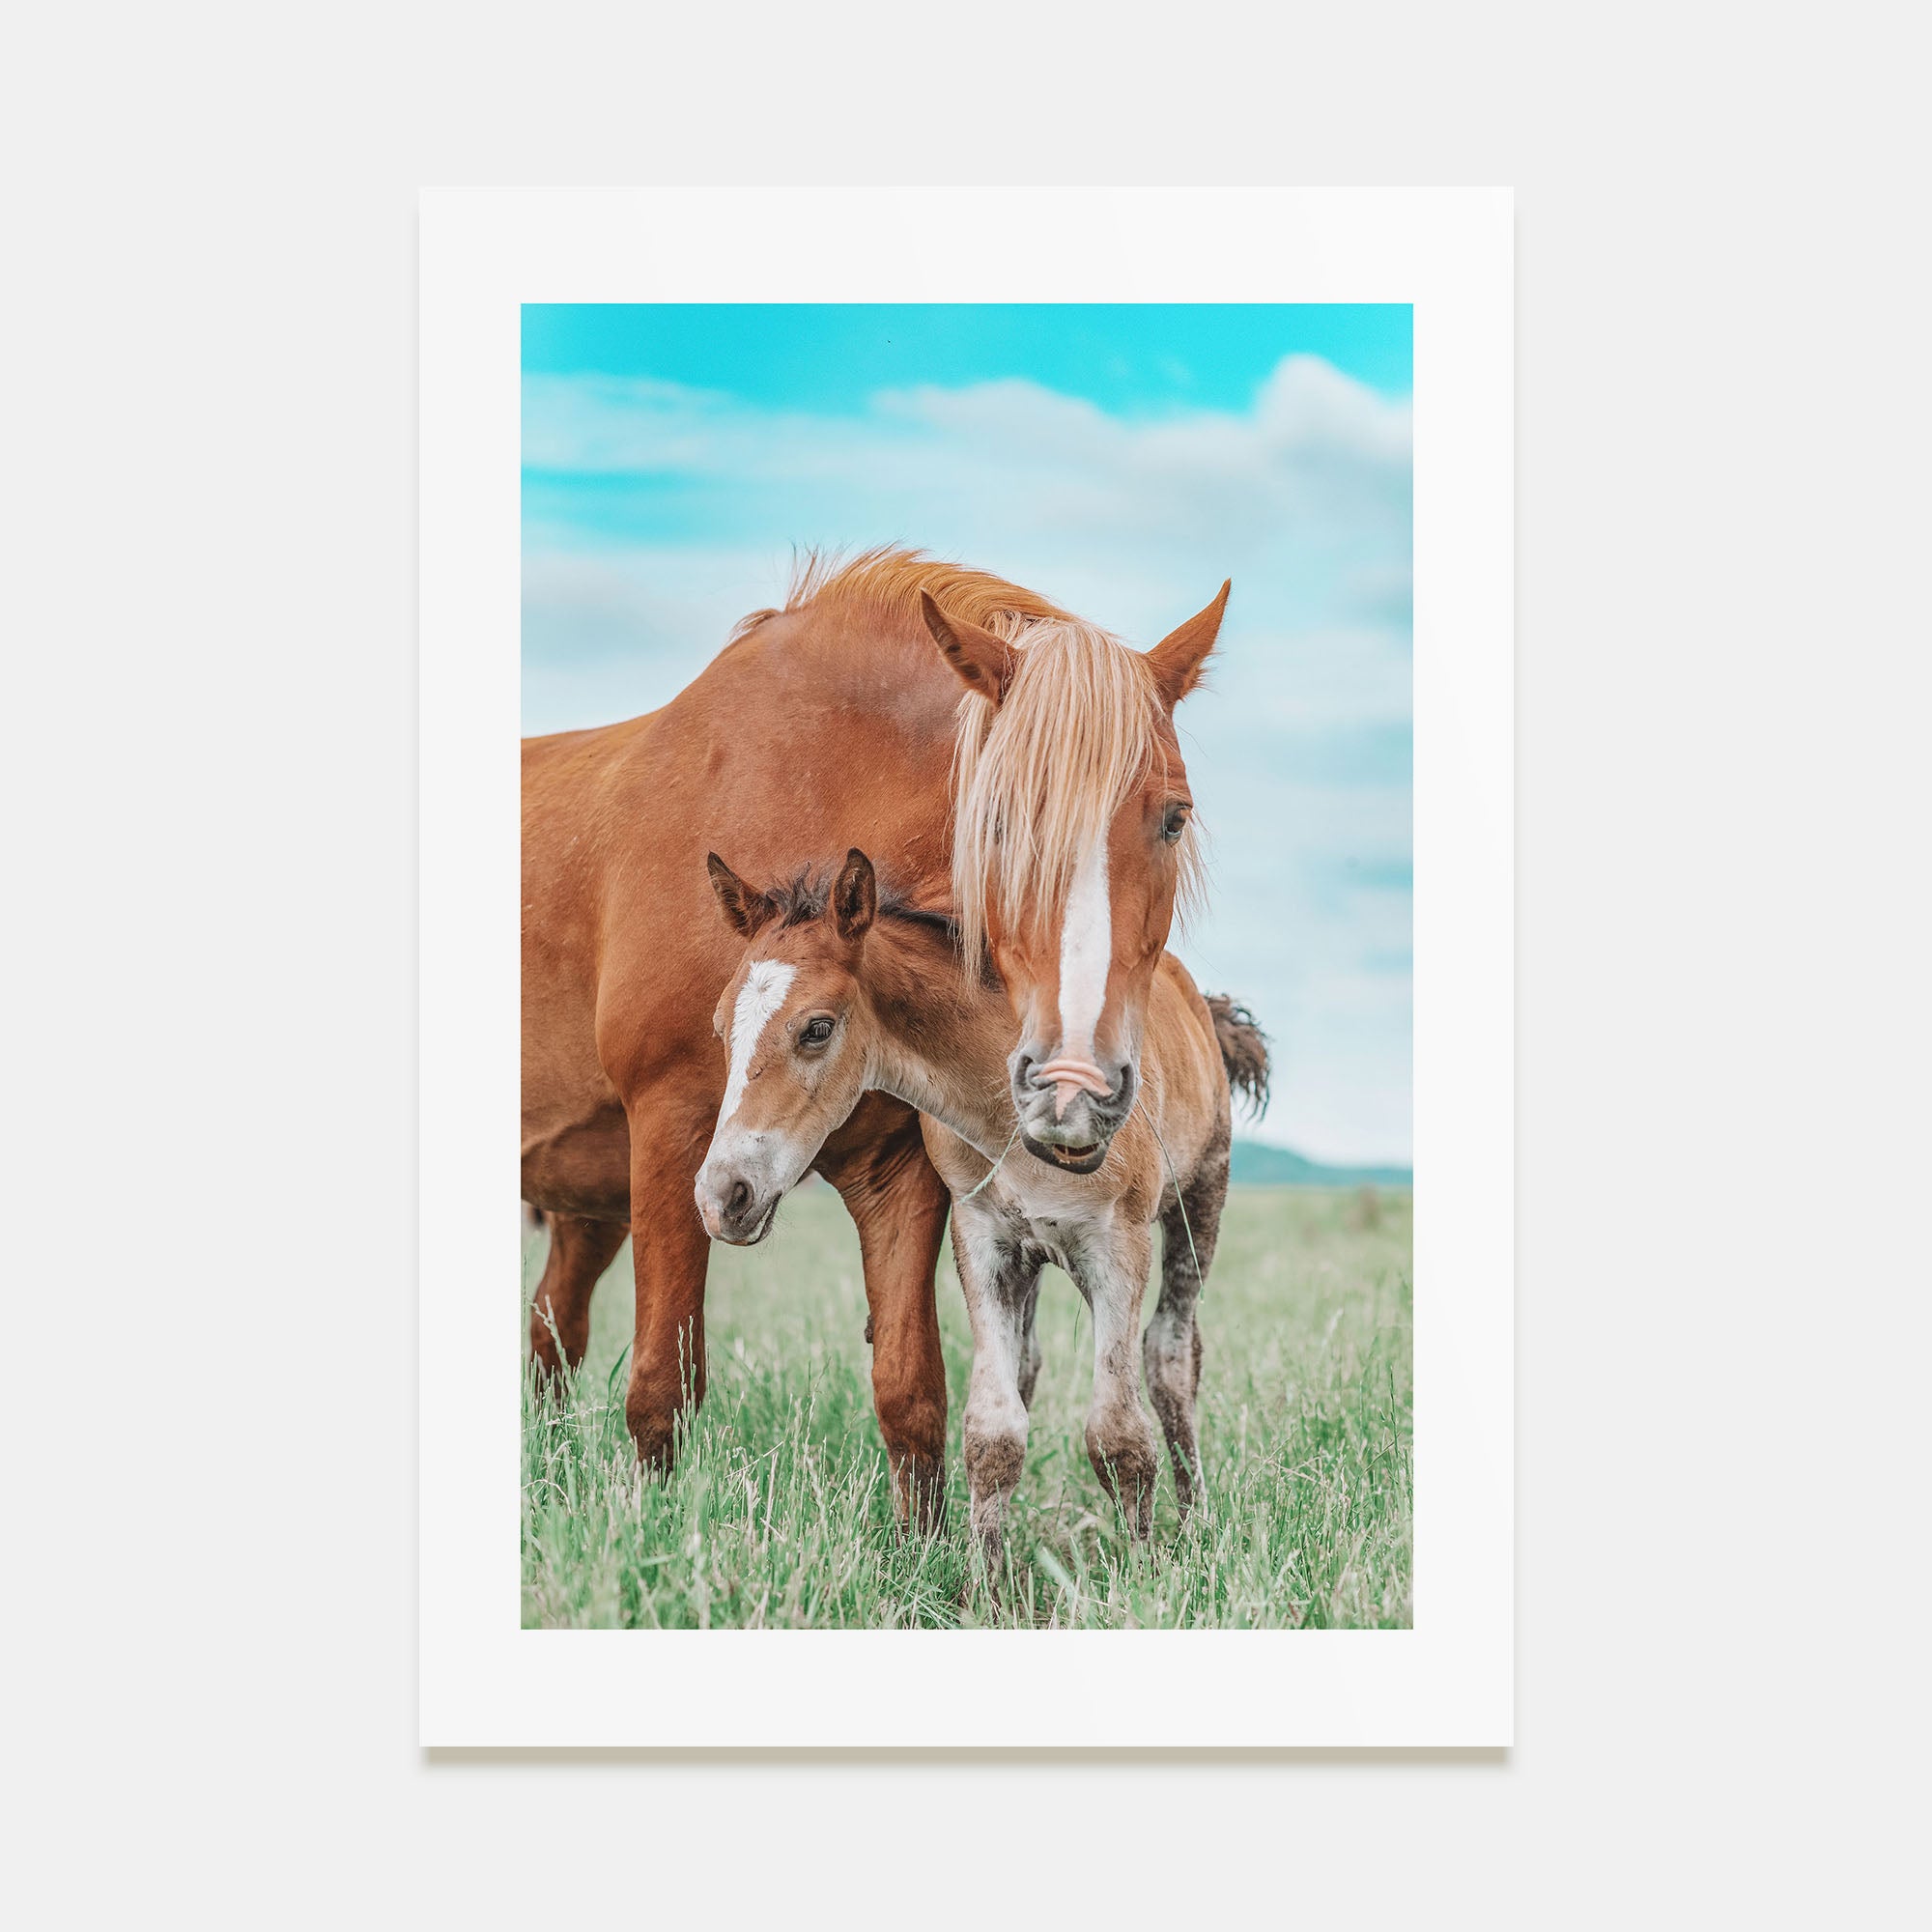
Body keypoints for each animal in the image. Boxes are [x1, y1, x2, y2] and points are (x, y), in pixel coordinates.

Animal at [522, 548, 1227, 1527]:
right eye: (996, 822)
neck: (812, 782)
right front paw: (654, 1539)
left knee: (551, 1341)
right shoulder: (672, 1132)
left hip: (587, 1208)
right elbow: (664, 1383)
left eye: (1175, 816)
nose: (1074, 1088)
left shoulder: (904, 1174)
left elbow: (912, 1392)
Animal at [694, 848, 1270, 1554]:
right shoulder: (984, 1239)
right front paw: (988, 1580)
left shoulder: (1118, 1245)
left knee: (1171, 1354)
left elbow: (1119, 1436)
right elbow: (993, 1434)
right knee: (1029, 1363)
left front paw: (1144, 1573)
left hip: (1201, 1197)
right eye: (721, 1028)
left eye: (817, 1028)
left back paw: (1193, 1524)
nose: (722, 1195)